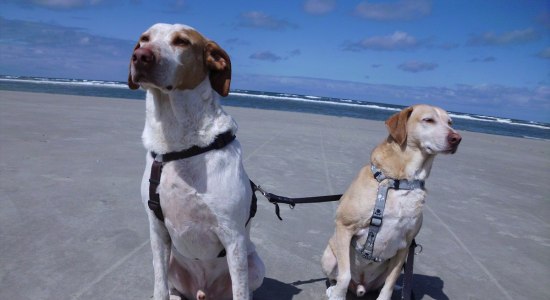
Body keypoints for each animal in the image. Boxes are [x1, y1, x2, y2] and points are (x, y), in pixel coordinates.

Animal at [130, 23, 266, 300]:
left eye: (182, 41)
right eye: (144, 39)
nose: (140, 56)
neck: (178, 145)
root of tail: (203, 291)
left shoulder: (233, 237)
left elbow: (241, 291)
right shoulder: (157, 230)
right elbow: (159, 287)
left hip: (256, 265)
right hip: (174, 263)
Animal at [322, 105, 464, 300]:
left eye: (450, 122)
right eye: (428, 120)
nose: (457, 138)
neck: (401, 182)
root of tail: (360, 287)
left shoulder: (404, 246)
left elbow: (389, 283)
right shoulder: (345, 227)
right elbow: (345, 275)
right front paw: (337, 295)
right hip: (328, 256)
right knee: (335, 276)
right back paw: (332, 289)